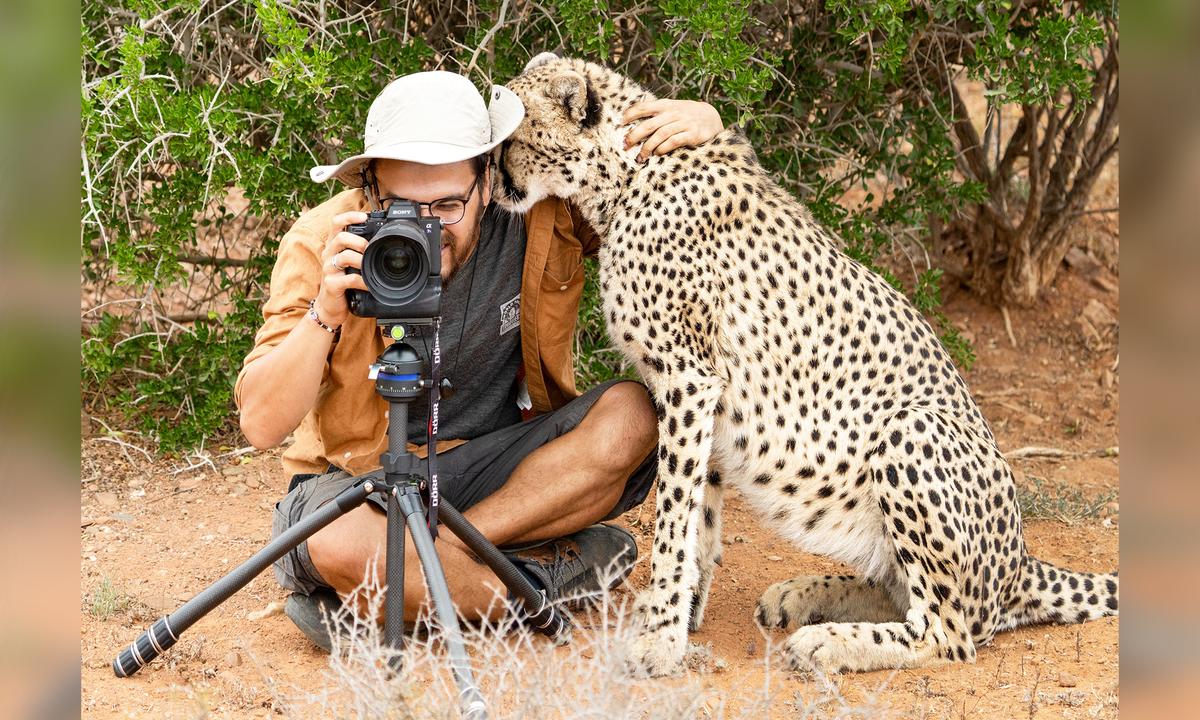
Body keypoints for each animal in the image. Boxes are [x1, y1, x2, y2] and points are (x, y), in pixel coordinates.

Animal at [493, 53, 1119, 678]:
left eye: (513, 141)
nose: (495, 188)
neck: (624, 174)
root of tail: (1022, 562)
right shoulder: (706, 391)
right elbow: (701, 518)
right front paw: (683, 616)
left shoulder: (688, 379)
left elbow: (673, 518)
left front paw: (660, 638)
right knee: (902, 593)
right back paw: (801, 596)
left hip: (909, 430)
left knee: (949, 632)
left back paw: (830, 639)